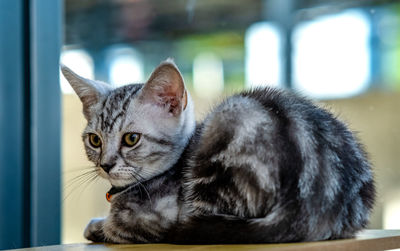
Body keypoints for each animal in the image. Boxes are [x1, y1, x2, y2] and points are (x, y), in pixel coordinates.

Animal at [61, 58, 376, 243]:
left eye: (131, 139)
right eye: (95, 141)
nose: (105, 164)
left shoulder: (152, 219)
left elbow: (114, 227)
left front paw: (98, 225)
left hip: (223, 131)